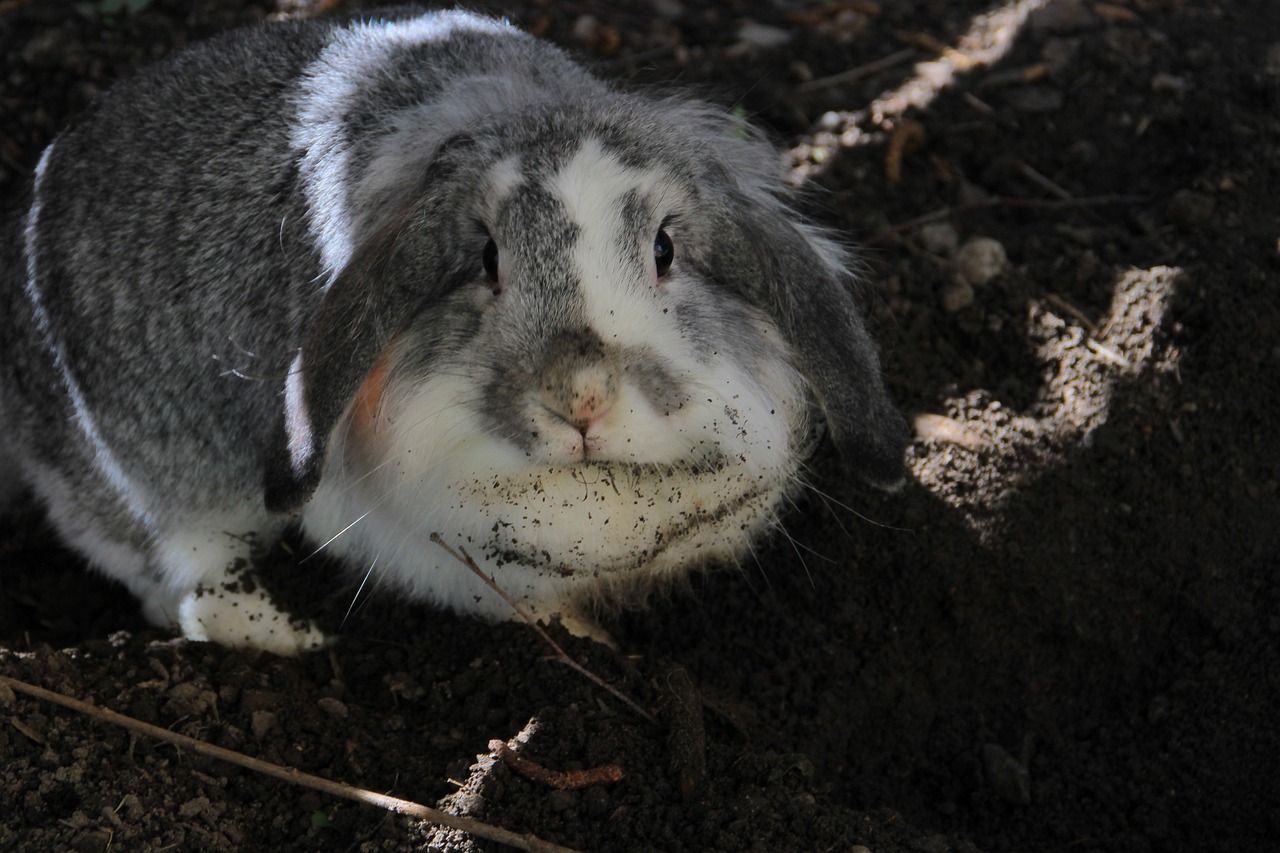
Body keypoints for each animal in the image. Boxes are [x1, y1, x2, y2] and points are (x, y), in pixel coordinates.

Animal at [0, 8, 907, 655]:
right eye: (485, 259)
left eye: (664, 248)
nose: (580, 399)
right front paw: (595, 644)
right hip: (167, 492)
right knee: (193, 591)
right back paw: (299, 638)